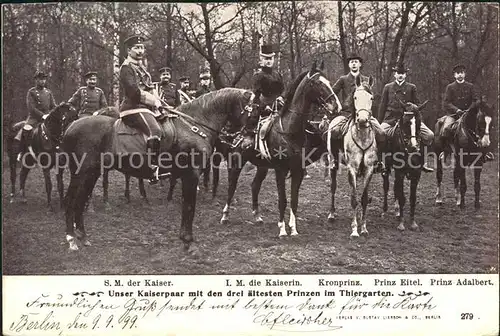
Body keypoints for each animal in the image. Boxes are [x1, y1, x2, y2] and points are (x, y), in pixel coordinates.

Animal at [60, 88, 252, 251]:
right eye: (251, 110)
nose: (247, 143)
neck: (195, 126)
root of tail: (71, 127)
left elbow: (186, 205)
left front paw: (185, 238)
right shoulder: (191, 175)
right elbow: (190, 207)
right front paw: (188, 241)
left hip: (91, 175)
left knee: (79, 201)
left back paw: (82, 237)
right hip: (81, 174)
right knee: (70, 201)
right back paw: (71, 240)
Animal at [219, 61, 340, 238]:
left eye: (329, 82)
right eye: (318, 83)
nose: (336, 106)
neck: (289, 131)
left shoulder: (297, 171)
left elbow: (294, 199)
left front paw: (294, 229)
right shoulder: (280, 170)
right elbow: (282, 199)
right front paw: (282, 229)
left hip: (262, 167)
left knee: (254, 186)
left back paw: (257, 217)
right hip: (236, 163)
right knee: (231, 187)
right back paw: (225, 216)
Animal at [324, 77, 378, 238]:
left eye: (371, 98)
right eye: (355, 97)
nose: (362, 120)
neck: (362, 137)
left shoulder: (369, 169)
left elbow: (364, 198)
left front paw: (364, 228)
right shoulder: (352, 169)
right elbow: (354, 199)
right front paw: (354, 230)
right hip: (333, 163)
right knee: (333, 187)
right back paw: (331, 214)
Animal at [382, 100, 430, 231]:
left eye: (419, 122)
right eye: (406, 123)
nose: (414, 147)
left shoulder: (416, 174)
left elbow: (412, 198)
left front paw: (412, 223)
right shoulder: (400, 172)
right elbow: (402, 197)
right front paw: (401, 224)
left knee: (395, 188)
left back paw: (397, 211)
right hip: (386, 169)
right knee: (386, 187)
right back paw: (385, 210)